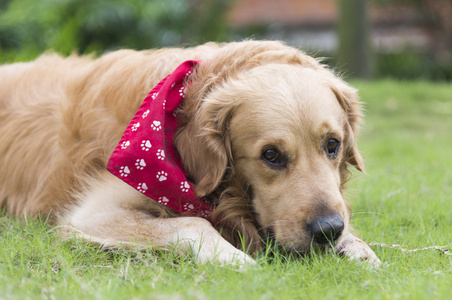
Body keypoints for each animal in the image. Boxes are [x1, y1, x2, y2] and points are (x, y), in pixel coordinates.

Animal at [0, 39, 382, 264]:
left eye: (332, 144)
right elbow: (192, 221)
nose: (327, 230)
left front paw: (356, 247)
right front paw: (235, 258)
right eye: (271, 155)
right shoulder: (93, 214)